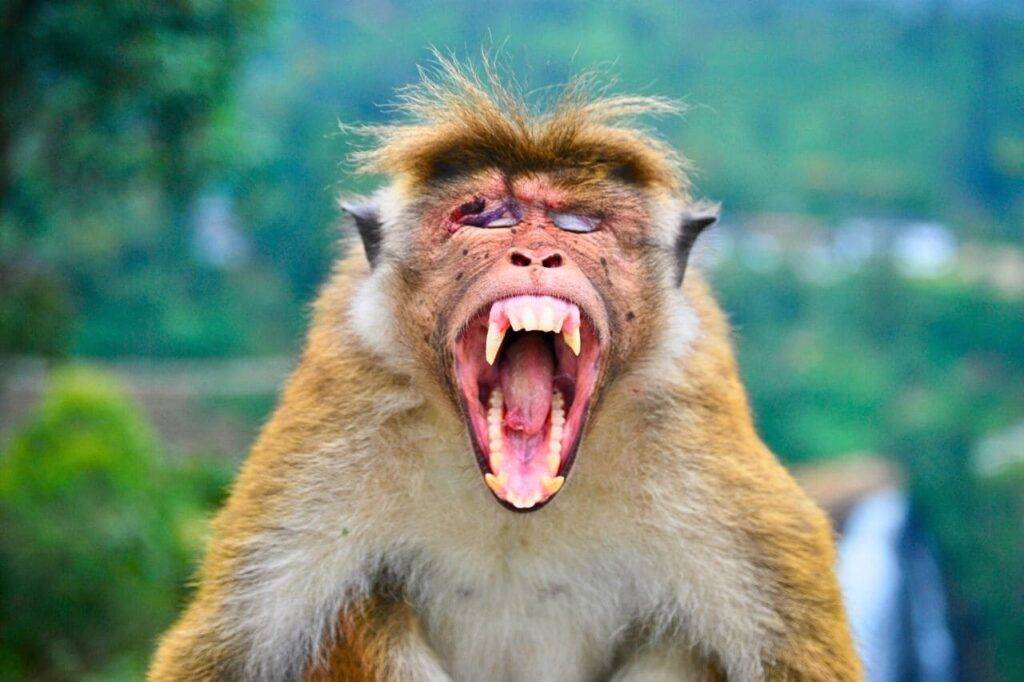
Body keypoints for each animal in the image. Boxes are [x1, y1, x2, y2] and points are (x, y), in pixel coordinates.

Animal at [149, 58, 860, 681]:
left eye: (579, 223)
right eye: (485, 216)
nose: (537, 254)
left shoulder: (692, 434)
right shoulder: (345, 406)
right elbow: (228, 649)